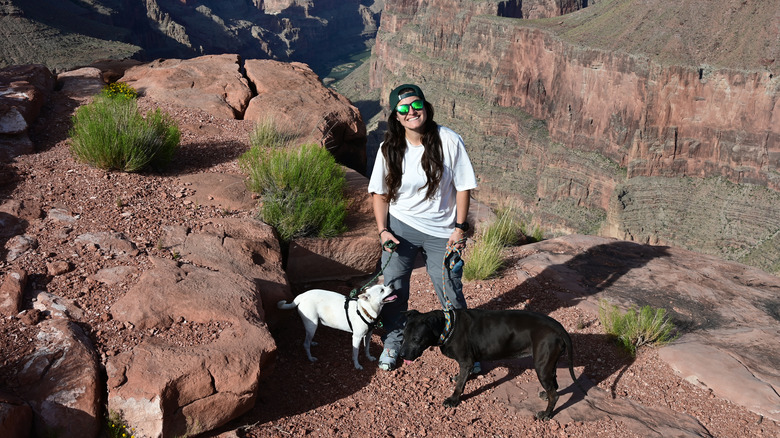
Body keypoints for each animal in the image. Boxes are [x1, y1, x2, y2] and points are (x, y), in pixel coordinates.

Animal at [400, 306, 580, 420]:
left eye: (416, 339)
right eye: (403, 336)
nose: (401, 354)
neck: (448, 326)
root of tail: (558, 327)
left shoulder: (466, 361)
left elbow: (460, 385)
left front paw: (453, 400)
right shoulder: (466, 363)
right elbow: (462, 377)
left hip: (541, 366)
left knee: (554, 394)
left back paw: (546, 414)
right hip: (548, 363)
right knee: (554, 384)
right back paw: (545, 395)